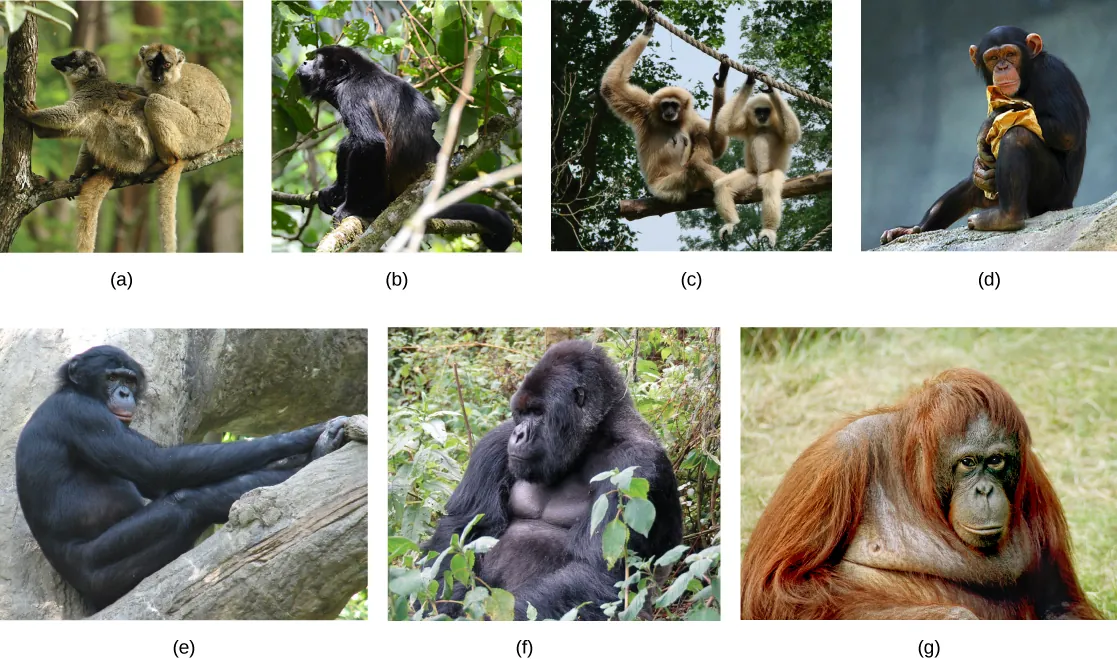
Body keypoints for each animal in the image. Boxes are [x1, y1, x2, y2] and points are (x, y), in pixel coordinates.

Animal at [21, 50, 158, 252]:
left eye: (72, 59)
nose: (55, 60)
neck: (88, 81)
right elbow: (72, 125)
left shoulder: (91, 94)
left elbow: (73, 115)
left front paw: (31, 115)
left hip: (128, 154)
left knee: (96, 121)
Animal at [135, 43, 232, 253]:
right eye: (151, 63)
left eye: (167, 65)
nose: (157, 77)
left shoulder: (171, 91)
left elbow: (153, 98)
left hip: (193, 134)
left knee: (154, 101)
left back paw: (168, 160)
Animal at [600, 14, 727, 204]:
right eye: (665, 105)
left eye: (674, 105)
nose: (669, 111)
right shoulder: (645, 108)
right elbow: (611, 86)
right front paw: (647, 30)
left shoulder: (691, 119)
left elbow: (716, 146)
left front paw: (721, 81)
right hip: (666, 188)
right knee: (694, 166)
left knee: (701, 138)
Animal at [711, 77, 801, 248]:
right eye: (759, 111)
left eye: (766, 111)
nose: (762, 116)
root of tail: (758, 175)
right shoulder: (746, 124)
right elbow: (723, 125)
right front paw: (750, 79)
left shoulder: (778, 123)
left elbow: (793, 134)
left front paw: (771, 89)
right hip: (751, 175)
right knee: (722, 185)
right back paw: (731, 223)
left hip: (773, 173)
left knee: (770, 187)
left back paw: (769, 229)